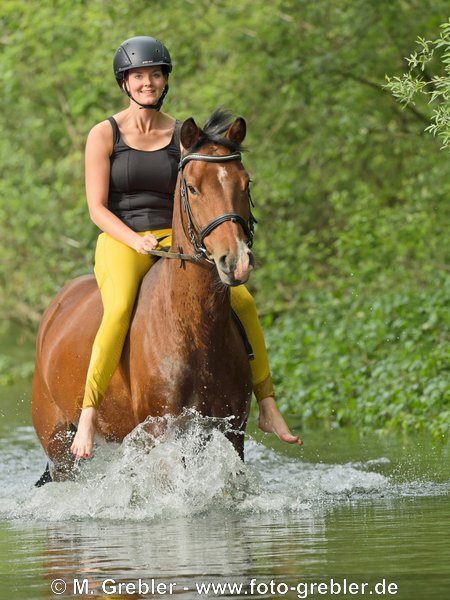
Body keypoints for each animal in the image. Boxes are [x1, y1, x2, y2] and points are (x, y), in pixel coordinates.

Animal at [30, 109, 256, 482]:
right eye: (192, 187)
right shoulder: (163, 431)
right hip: (59, 447)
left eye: (245, 183)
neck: (195, 330)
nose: (236, 261)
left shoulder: (232, 430)